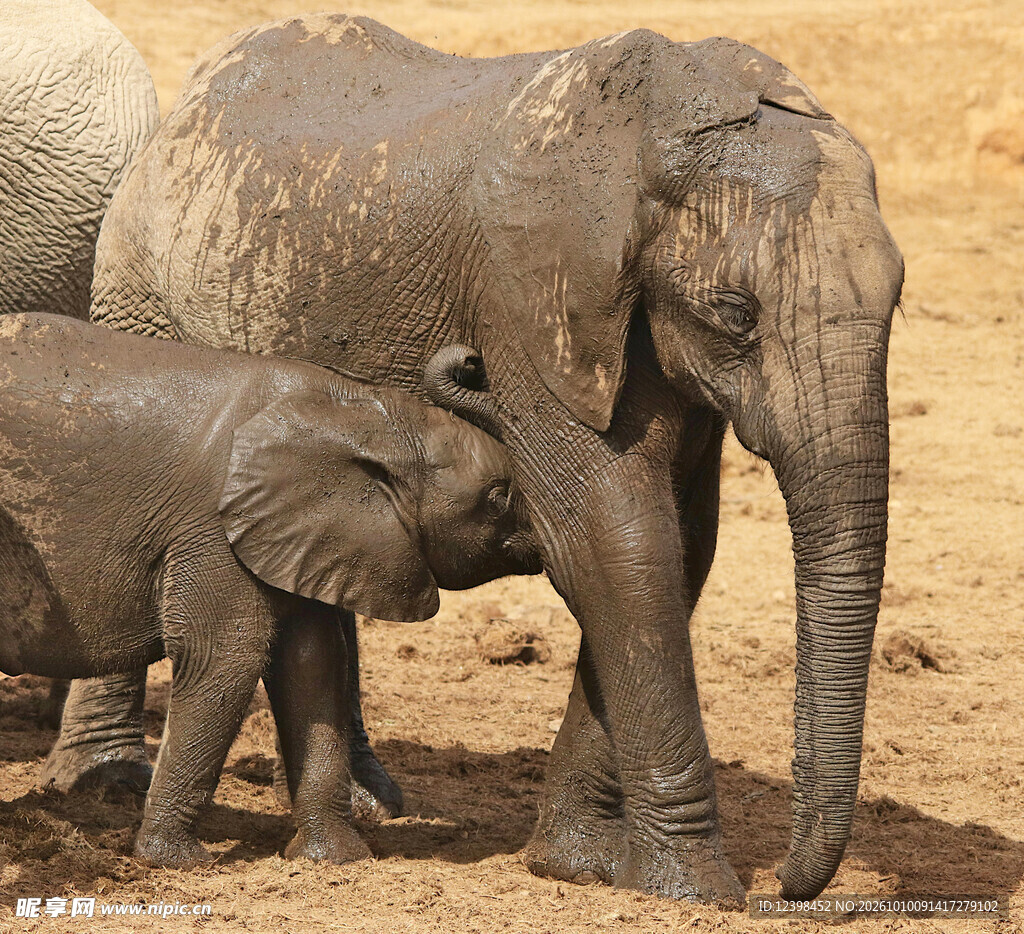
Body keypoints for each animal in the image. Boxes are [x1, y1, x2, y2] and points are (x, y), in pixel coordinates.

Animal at [0, 313, 539, 866]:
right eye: (499, 498)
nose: (471, 359)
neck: (362, 413)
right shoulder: (212, 529)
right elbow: (224, 657)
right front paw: (177, 861)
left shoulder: (305, 534)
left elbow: (312, 663)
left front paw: (336, 859)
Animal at [90, 16, 904, 902]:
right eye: (735, 312)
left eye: (899, 298)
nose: (784, 885)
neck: (656, 141)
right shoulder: (528, 306)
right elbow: (616, 545)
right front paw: (695, 893)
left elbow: (676, 551)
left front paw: (576, 866)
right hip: (138, 290)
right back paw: (104, 785)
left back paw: (366, 807)